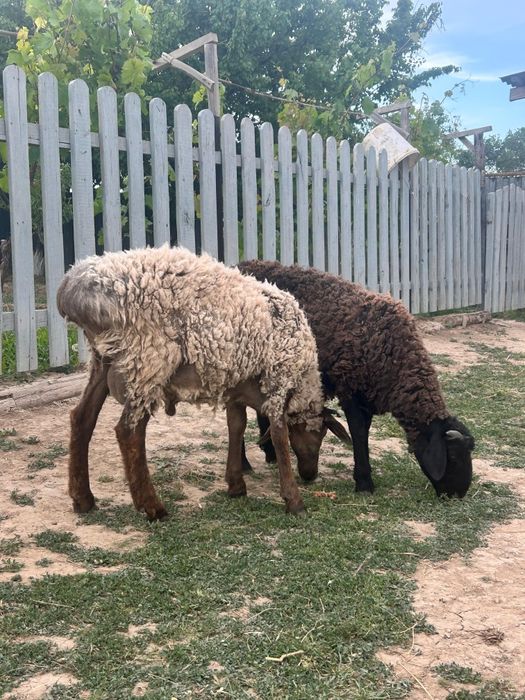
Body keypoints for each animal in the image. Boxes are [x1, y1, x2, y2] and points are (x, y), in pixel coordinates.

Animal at [57, 246, 350, 520]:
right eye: (320, 434)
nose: (310, 475)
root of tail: (71, 289)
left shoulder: (236, 385)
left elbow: (236, 426)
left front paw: (236, 485)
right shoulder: (278, 377)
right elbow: (279, 435)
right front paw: (293, 500)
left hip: (103, 359)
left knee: (82, 417)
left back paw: (83, 498)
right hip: (148, 359)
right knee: (129, 431)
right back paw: (152, 507)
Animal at [238, 261, 474, 498]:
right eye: (453, 456)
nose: (459, 494)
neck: (394, 353)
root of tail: (243, 264)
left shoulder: (367, 396)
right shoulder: (351, 390)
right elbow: (359, 434)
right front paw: (364, 482)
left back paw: (270, 453)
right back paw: (245, 464)